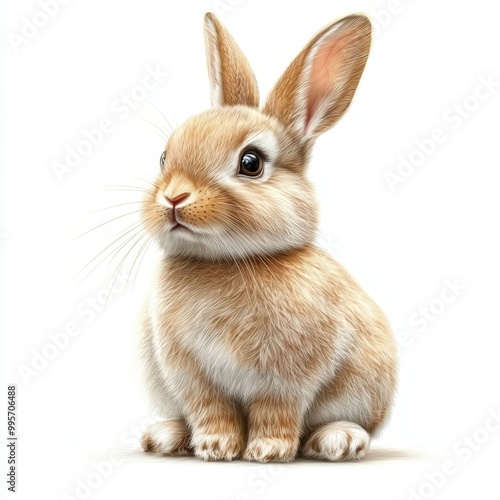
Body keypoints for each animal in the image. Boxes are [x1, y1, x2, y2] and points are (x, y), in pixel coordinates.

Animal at [139, 12, 396, 464]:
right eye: (164, 157)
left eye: (251, 162)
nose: (173, 197)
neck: (227, 262)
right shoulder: (189, 372)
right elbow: (210, 408)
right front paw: (215, 447)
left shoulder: (288, 375)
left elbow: (277, 408)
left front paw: (267, 450)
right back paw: (165, 436)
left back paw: (339, 440)